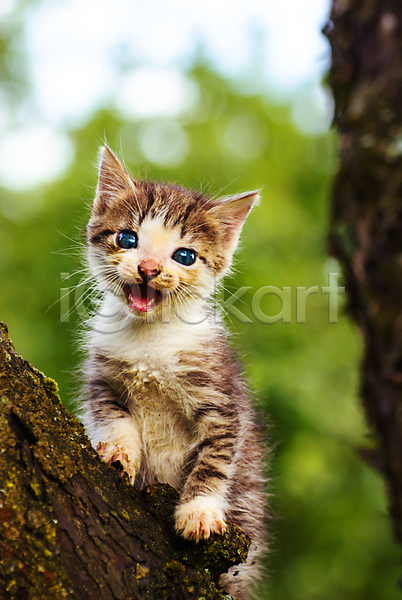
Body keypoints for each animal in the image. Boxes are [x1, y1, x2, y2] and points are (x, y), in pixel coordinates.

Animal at [80, 146, 266, 600]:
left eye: (185, 256)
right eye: (127, 239)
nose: (148, 268)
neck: (150, 339)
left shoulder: (222, 399)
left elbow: (215, 459)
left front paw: (198, 511)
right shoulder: (102, 381)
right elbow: (113, 419)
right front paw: (118, 452)